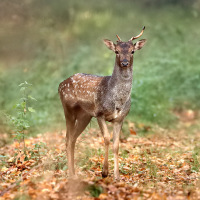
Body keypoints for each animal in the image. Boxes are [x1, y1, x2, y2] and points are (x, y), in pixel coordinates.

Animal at [58, 26, 146, 180]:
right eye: (116, 51)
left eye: (132, 51)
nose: (124, 63)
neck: (117, 101)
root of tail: (59, 85)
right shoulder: (99, 113)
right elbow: (106, 138)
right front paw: (104, 172)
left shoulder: (120, 118)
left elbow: (116, 144)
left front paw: (117, 175)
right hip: (68, 109)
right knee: (68, 138)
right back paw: (71, 174)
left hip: (85, 116)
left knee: (73, 138)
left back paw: (73, 172)